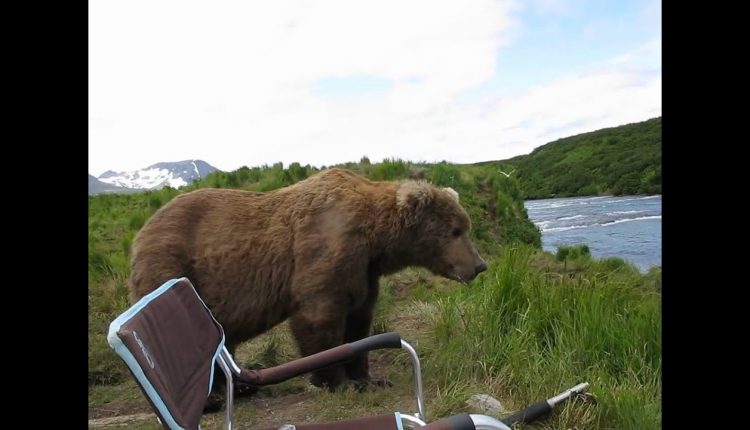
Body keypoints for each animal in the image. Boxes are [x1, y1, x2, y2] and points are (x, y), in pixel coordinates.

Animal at [129, 168, 487, 391]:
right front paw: (337, 381)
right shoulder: (326, 249)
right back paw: (216, 395)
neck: (375, 239)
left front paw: (368, 378)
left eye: (464, 226)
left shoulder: (364, 271)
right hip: (173, 265)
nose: (479, 265)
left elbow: (359, 321)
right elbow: (319, 317)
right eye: (455, 231)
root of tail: (142, 230)